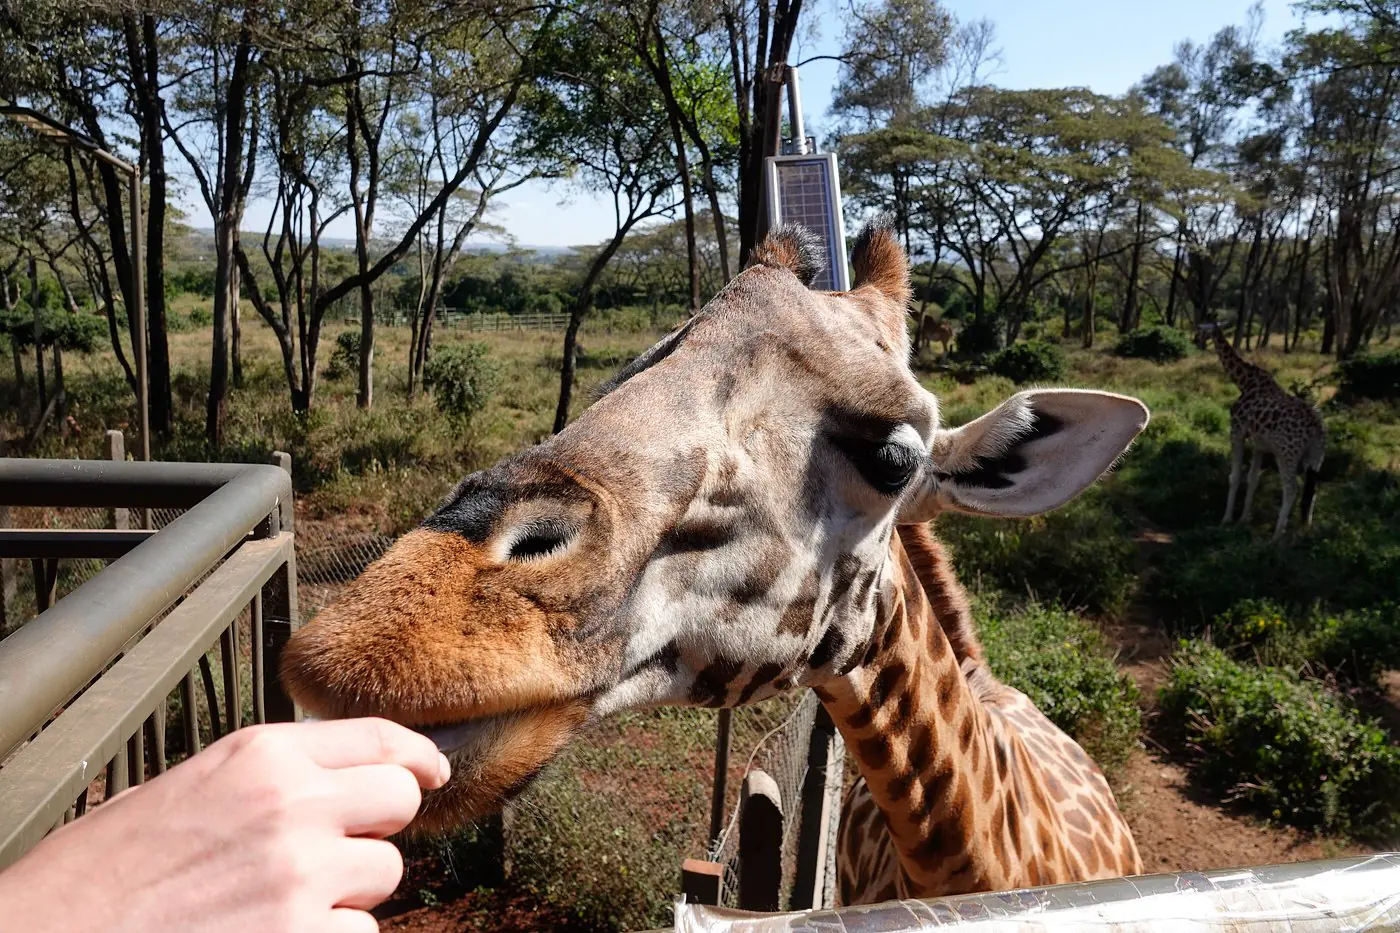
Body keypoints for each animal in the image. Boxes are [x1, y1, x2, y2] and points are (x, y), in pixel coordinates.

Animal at [1203, 322, 1326, 540]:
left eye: (1205, 327)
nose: (1199, 334)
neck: (1244, 381)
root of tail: (1317, 431)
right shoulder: (1260, 445)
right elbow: (1253, 479)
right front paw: (1243, 520)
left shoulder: (1237, 432)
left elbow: (1234, 477)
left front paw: (1226, 520)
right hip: (1315, 457)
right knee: (1312, 489)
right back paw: (1304, 529)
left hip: (1288, 454)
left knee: (1291, 488)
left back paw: (1276, 536)